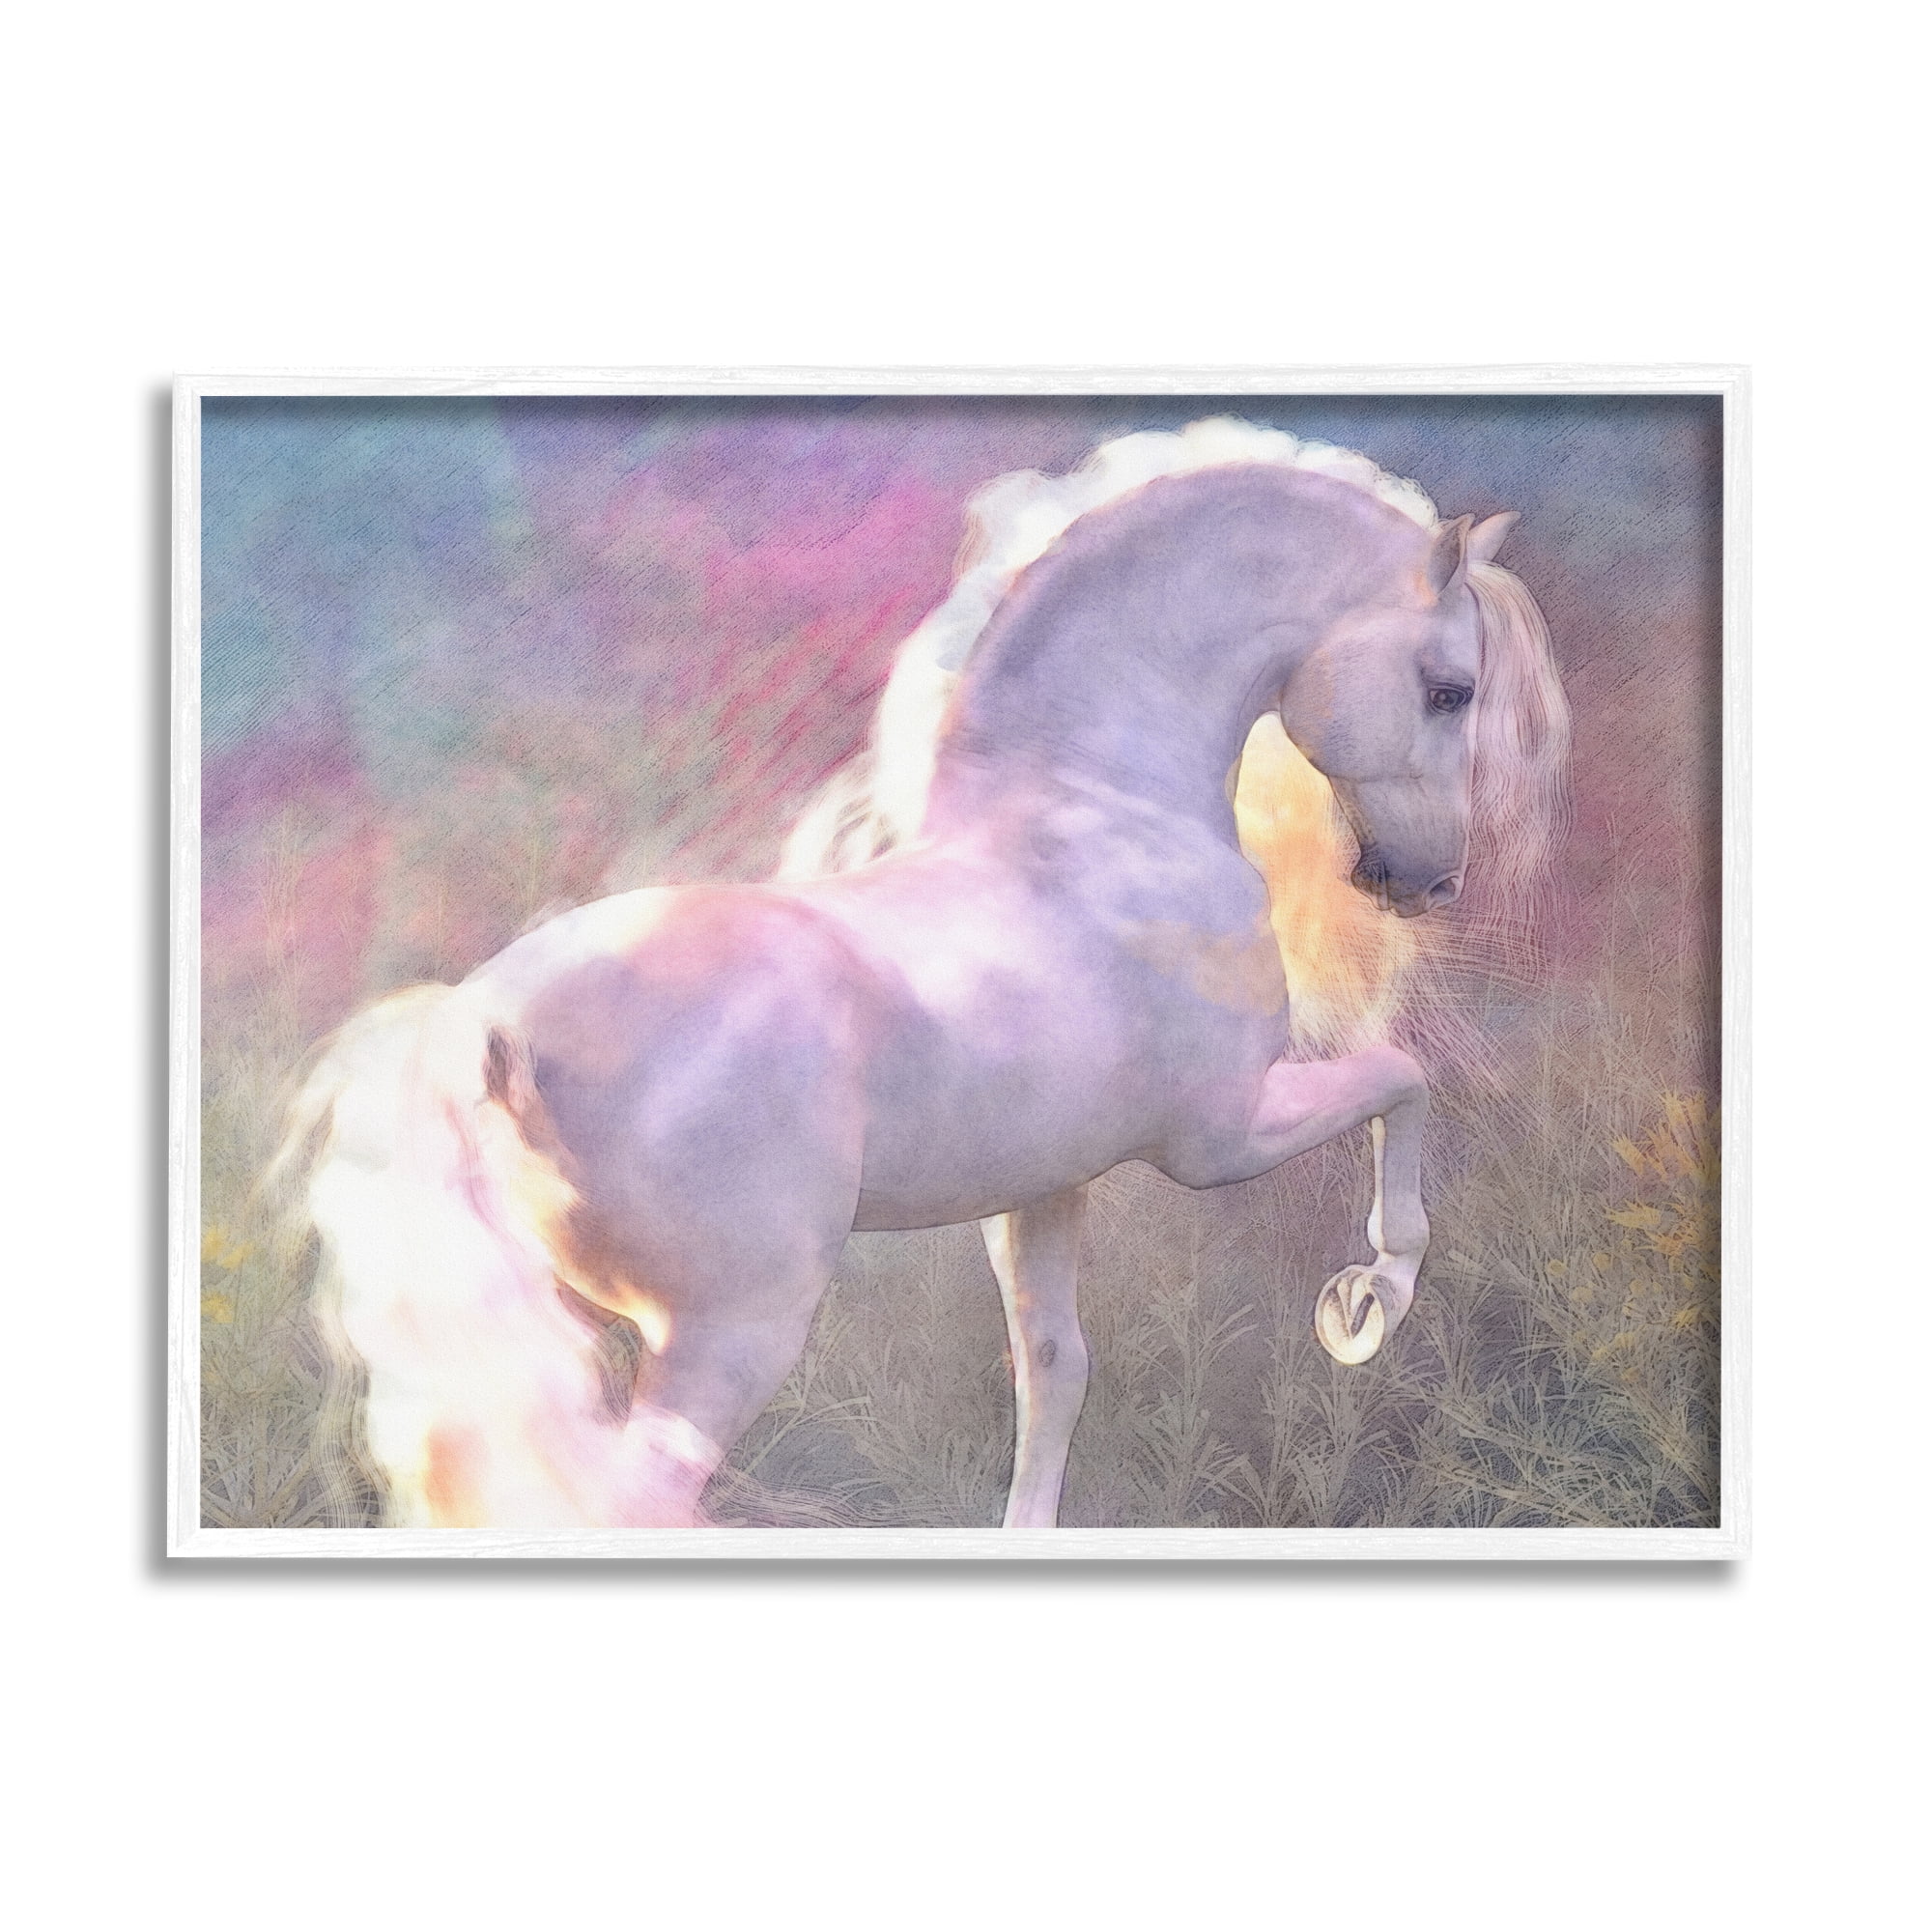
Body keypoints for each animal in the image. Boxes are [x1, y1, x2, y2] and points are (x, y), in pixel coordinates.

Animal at [280, 418, 1569, 1529]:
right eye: (1448, 686)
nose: (1423, 879)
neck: (1094, 815)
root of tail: (489, 1021)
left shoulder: (1045, 1188)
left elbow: (1051, 1372)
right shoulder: (1219, 1134)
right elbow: (1401, 1081)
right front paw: (1365, 1303)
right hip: (730, 1334)